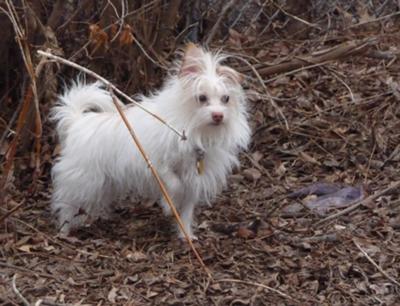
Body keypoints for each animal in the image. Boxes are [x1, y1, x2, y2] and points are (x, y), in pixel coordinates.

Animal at [50, 43, 250, 239]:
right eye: (202, 98)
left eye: (226, 99)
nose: (218, 115)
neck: (194, 131)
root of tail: (77, 121)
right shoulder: (156, 165)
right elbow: (175, 185)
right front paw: (169, 206)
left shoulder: (193, 180)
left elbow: (186, 210)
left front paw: (185, 235)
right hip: (82, 179)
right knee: (67, 204)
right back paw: (64, 230)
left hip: (104, 181)